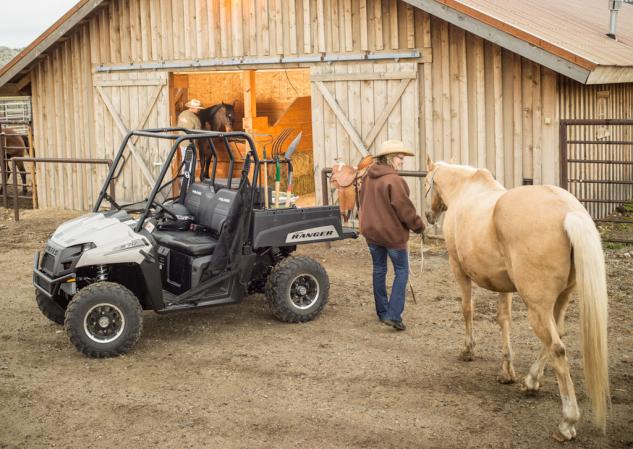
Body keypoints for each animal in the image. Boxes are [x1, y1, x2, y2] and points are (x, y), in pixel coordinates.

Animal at [422, 158, 608, 440]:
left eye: (426, 183)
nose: (428, 216)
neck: (465, 190)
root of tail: (569, 212)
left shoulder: (457, 268)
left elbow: (467, 309)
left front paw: (468, 350)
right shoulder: (503, 284)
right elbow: (504, 320)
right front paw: (506, 371)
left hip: (537, 308)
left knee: (557, 348)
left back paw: (567, 423)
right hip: (560, 300)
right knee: (557, 335)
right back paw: (531, 381)